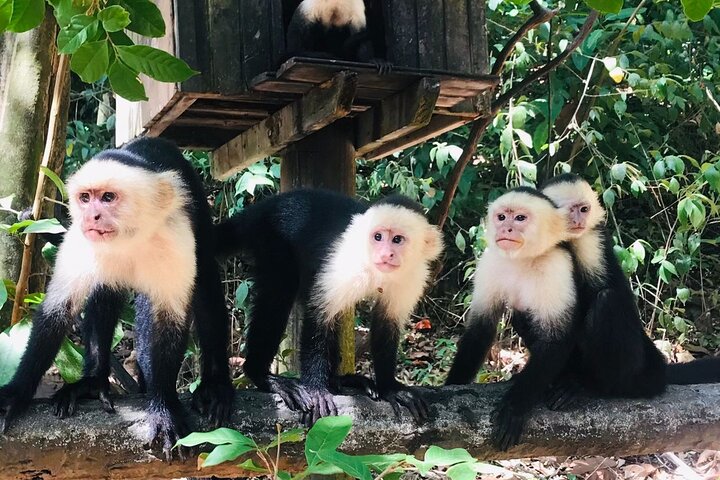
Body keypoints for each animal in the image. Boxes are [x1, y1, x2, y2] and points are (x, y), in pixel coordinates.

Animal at [0, 138, 234, 460]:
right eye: (85, 198)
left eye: (108, 197)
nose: (91, 216)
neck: (129, 237)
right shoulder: (80, 238)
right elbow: (57, 312)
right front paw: (17, 393)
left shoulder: (175, 235)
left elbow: (169, 320)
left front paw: (164, 407)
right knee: (104, 294)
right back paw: (94, 381)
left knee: (206, 283)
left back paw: (215, 386)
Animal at [215, 189, 443, 425]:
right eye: (378, 237)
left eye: (397, 239)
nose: (385, 254)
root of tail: (261, 208)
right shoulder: (344, 262)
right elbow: (320, 315)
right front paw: (316, 390)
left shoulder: (414, 275)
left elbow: (386, 323)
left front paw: (391, 388)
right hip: (270, 236)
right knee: (280, 290)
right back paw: (262, 375)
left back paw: (340, 381)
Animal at [445, 187, 581, 451]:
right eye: (501, 217)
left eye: (519, 218)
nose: (505, 228)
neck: (522, 259)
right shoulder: (490, 262)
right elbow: (480, 330)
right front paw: (453, 385)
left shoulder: (556, 265)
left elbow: (557, 339)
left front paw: (515, 406)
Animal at [540, 173, 720, 406]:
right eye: (571, 211)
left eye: (584, 209)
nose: (579, 221)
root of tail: (656, 370)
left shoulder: (590, 240)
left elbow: (602, 290)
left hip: (633, 368)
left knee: (608, 301)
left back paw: (588, 384)